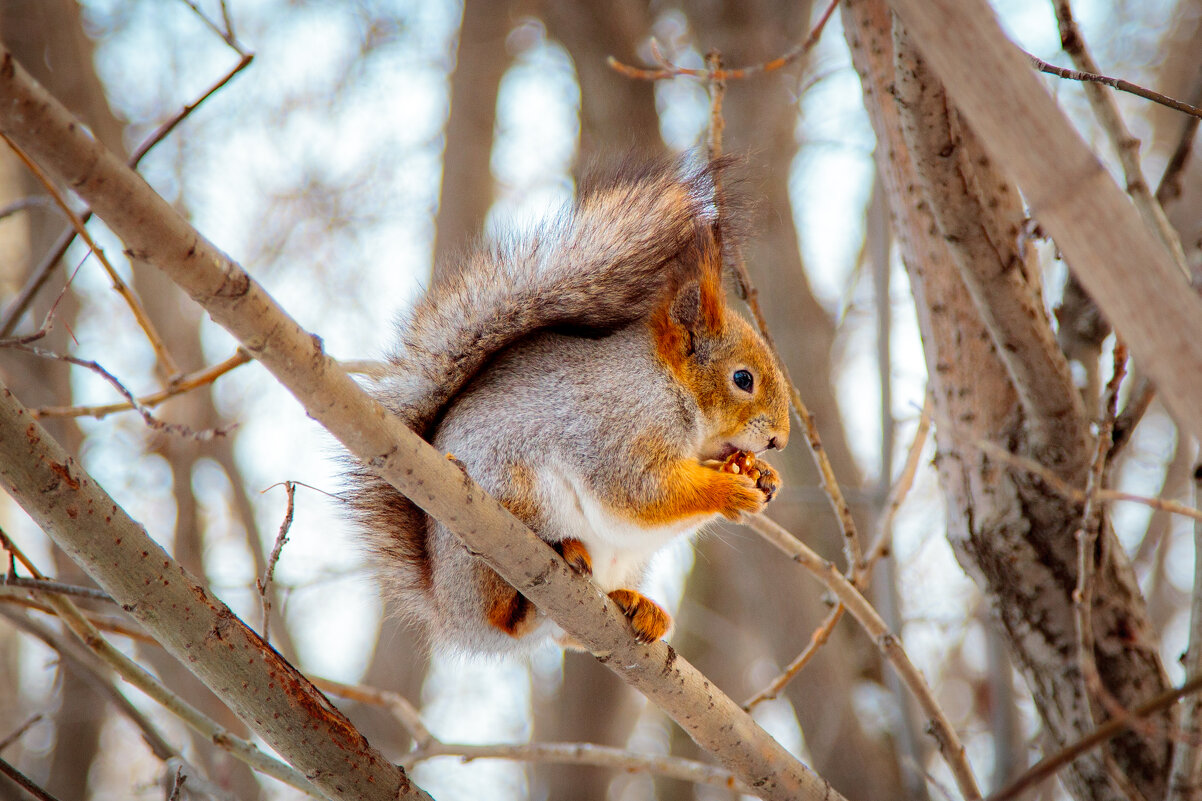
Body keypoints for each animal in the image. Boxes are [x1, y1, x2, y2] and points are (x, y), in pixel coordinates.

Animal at [348, 158, 793, 654]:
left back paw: (637, 606)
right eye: (743, 379)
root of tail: (450, 610)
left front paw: (764, 476)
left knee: (567, 636)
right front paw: (729, 490)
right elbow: (639, 492)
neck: (668, 385)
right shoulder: (618, 426)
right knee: (505, 612)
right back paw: (546, 572)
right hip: (506, 504)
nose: (779, 440)